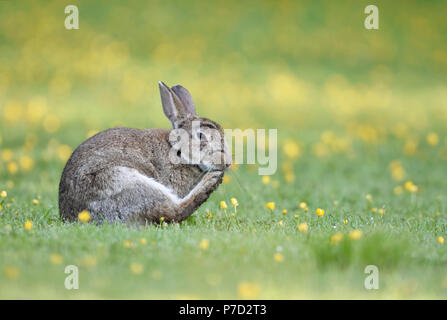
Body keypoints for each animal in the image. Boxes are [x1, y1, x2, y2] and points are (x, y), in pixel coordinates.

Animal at [58, 82, 233, 225]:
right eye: (201, 136)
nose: (227, 162)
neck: (177, 151)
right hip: (124, 181)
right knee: (173, 211)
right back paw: (212, 181)